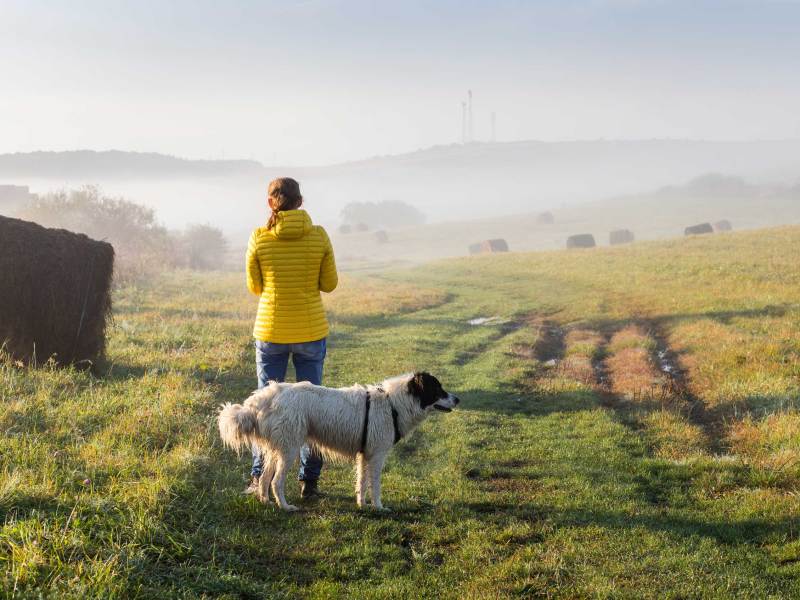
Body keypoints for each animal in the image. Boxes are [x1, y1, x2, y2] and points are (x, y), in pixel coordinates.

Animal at [217, 370, 456, 510]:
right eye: (438, 388)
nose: (458, 399)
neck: (392, 404)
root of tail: (268, 394)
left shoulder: (364, 455)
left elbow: (362, 482)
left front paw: (362, 505)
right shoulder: (377, 456)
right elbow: (375, 485)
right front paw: (379, 507)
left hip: (279, 448)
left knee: (265, 478)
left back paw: (266, 502)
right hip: (290, 449)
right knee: (276, 481)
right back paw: (285, 507)